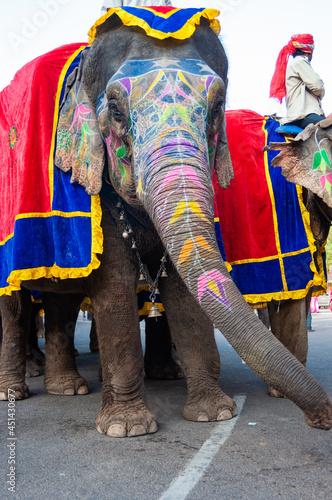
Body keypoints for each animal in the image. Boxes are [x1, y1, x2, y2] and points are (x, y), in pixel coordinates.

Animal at [0, 10, 330, 438]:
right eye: (116, 111)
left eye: (217, 107)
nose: (320, 419)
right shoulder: (92, 187)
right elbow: (114, 283)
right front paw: (126, 429)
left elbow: (183, 291)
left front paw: (213, 414)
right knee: (16, 306)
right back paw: (17, 392)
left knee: (61, 301)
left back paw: (70, 388)